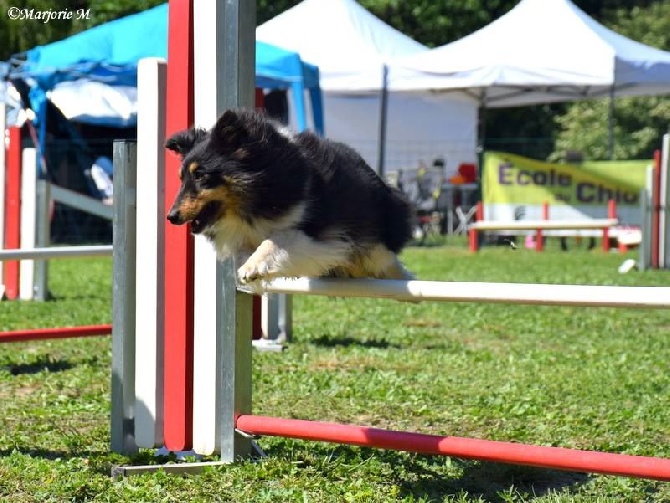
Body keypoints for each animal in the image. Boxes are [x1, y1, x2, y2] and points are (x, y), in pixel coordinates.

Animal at [165, 108, 414, 286]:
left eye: (200, 175)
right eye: (181, 178)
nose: (171, 216)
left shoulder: (322, 237)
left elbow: (277, 240)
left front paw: (251, 268)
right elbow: (243, 250)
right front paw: (248, 269)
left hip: (375, 245)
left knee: (389, 263)